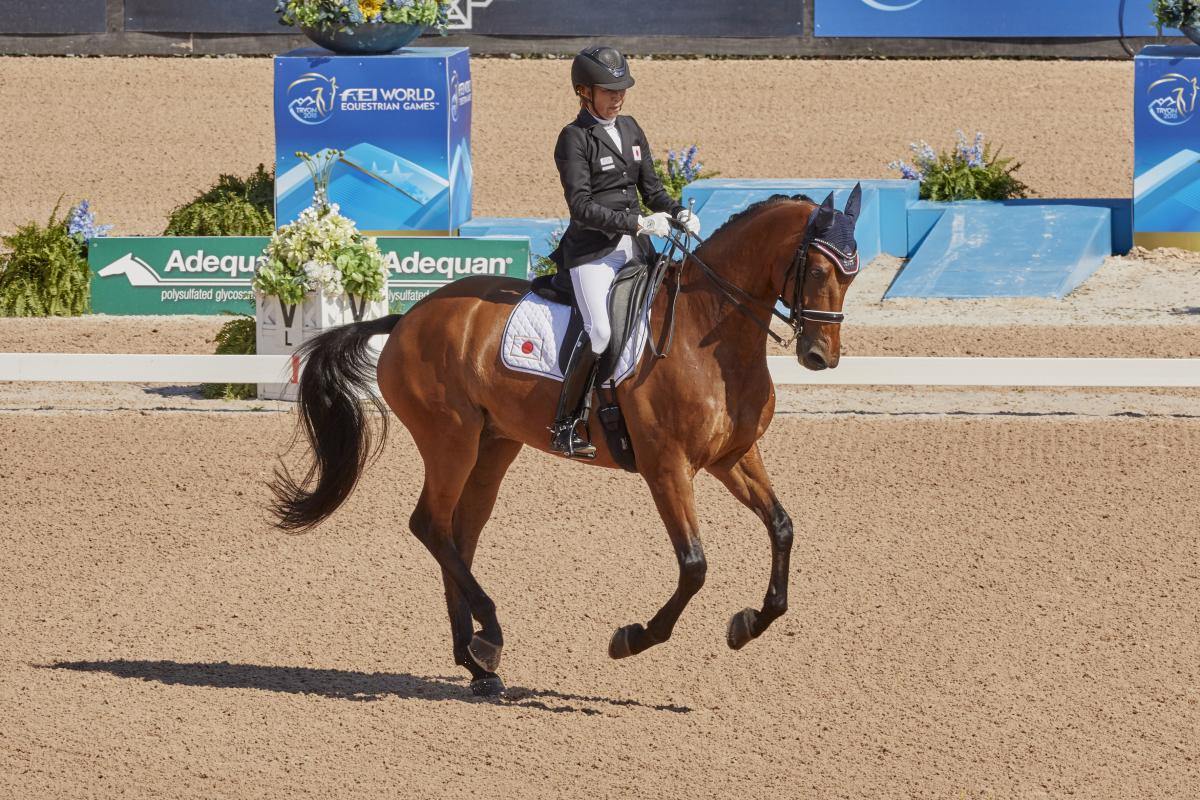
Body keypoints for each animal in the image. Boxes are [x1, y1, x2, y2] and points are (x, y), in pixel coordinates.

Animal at [272, 185, 864, 695]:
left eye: (851, 276)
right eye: (816, 269)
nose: (820, 355)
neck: (706, 331)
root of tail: (407, 318)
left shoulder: (733, 457)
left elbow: (782, 528)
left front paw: (747, 624)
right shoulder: (667, 468)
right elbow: (694, 566)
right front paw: (631, 639)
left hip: (492, 446)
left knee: (457, 536)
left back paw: (477, 662)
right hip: (450, 440)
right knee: (430, 526)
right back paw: (489, 636)